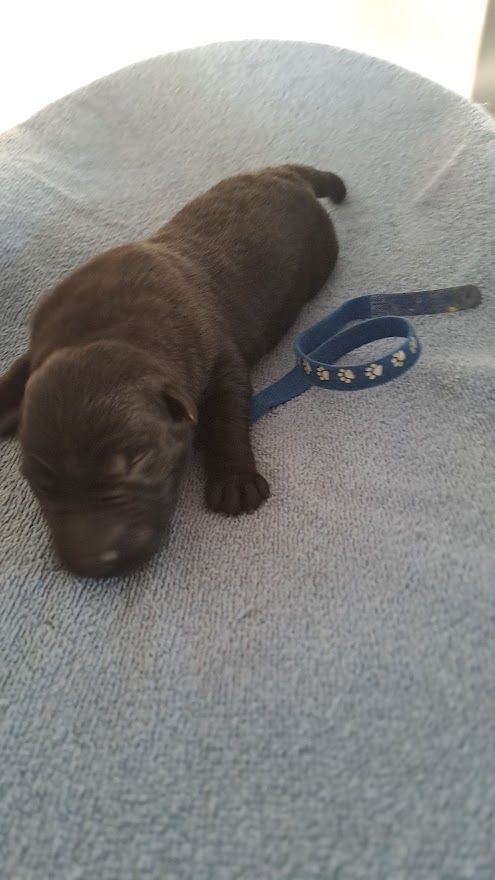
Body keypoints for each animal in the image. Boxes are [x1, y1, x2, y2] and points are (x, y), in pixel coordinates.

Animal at [0, 164, 345, 576]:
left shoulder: (220, 360)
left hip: (324, 250)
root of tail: (283, 173)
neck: (109, 330)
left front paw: (236, 480)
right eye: (41, 483)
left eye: (138, 462)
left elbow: (225, 419)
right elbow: (15, 374)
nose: (92, 561)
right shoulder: (42, 343)